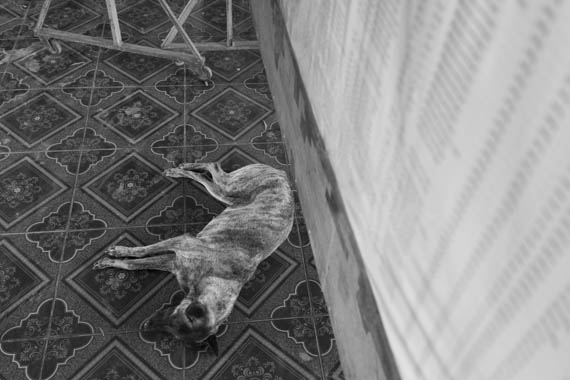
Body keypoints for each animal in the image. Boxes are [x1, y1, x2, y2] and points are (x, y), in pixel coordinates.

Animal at [93, 163, 292, 354]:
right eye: (172, 315)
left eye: (172, 327)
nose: (144, 328)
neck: (217, 278)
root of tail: (283, 174)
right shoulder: (181, 242)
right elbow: (141, 253)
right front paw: (117, 253)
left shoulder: (174, 262)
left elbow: (136, 264)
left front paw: (115, 260)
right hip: (229, 187)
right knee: (213, 167)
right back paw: (182, 169)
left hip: (228, 197)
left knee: (208, 176)